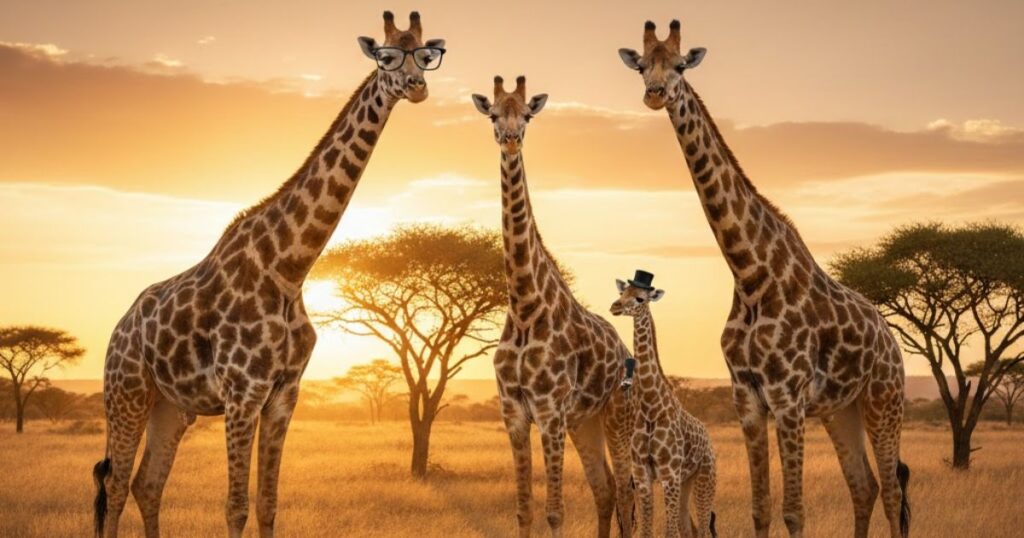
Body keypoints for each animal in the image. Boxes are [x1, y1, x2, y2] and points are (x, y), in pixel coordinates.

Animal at [91, 11, 445, 538]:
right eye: (385, 56)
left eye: (424, 54)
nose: (417, 86)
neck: (289, 269)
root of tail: (119, 329)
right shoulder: (243, 391)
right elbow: (236, 505)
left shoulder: (284, 393)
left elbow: (268, 503)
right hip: (127, 391)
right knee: (114, 485)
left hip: (171, 407)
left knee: (146, 484)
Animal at [471, 76, 634, 538]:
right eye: (493, 114)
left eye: (527, 115)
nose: (510, 140)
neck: (526, 307)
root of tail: (624, 349)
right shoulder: (514, 412)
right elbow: (524, 510)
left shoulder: (550, 412)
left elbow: (555, 512)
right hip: (584, 421)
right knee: (606, 489)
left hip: (615, 415)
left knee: (628, 491)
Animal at [610, 270, 717, 538]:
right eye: (622, 292)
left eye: (640, 298)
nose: (615, 306)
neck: (651, 407)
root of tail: (709, 440)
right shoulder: (643, 475)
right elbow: (646, 531)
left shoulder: (669, 475)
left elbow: (670, 532)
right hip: (686, 481)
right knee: (689, 527)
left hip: (705, 478)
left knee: (701, 528)